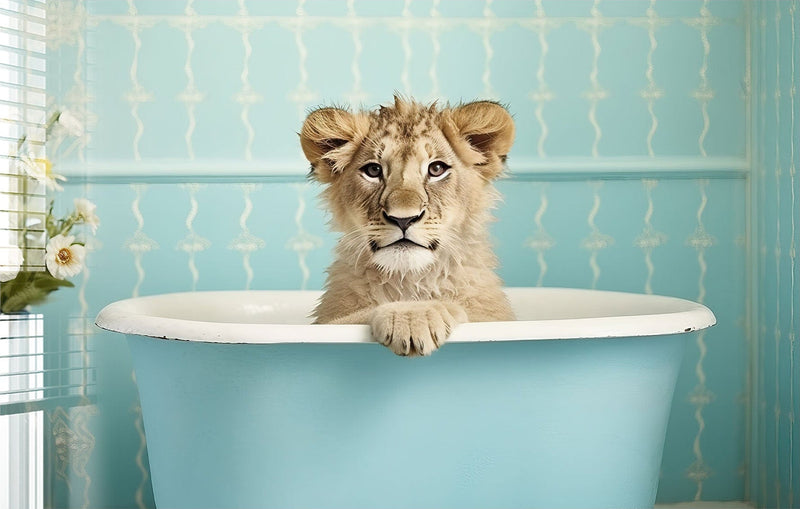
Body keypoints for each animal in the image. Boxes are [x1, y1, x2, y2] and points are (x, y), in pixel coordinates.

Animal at [300, 96, 515, 356]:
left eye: (436, 169)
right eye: (373, 170)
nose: (403, 219)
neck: (411, 279)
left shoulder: (495, 317)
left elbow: (468, 311)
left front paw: (421, 313)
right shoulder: (328, 322)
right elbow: (356, 316)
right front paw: (412, 315)